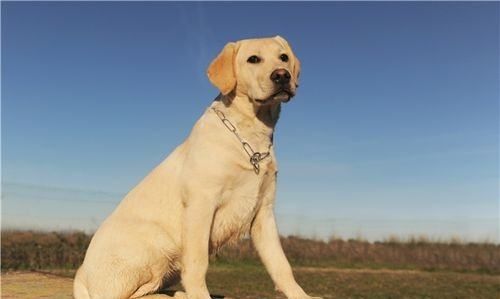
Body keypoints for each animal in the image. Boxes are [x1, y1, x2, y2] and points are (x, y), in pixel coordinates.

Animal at [73, 37, 320, 299]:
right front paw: (200, 295)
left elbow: (281, 265)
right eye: (253, 59)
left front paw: (300, 295)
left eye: (283, 57)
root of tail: (80, 274)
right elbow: (197, 263)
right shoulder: (201, 205)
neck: (250, 138)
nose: (282, 75)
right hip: (158, 243)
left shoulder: (263, 212)